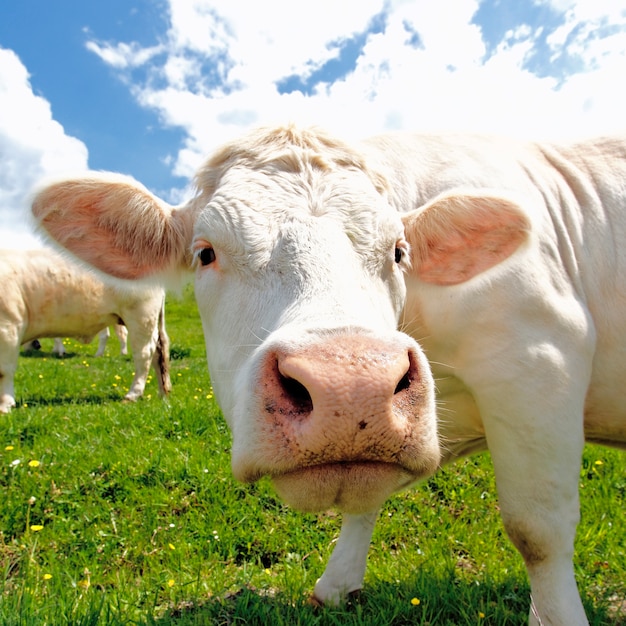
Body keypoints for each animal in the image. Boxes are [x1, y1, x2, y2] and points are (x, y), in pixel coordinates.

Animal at [0, 246, 171, 412]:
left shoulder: (9, 327)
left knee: (144, 354)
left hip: (141, 317)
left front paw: (5, 404)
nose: (36, 345)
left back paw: (133, 394)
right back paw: (163, 392)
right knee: (159, 351)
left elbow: (5, 370)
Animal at [30, 124, 624, 620]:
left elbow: (537, 530)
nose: (351, 388)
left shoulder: (539, 360)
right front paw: (336, 585)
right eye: (205, 253)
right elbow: (369, 499)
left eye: (399, 251)